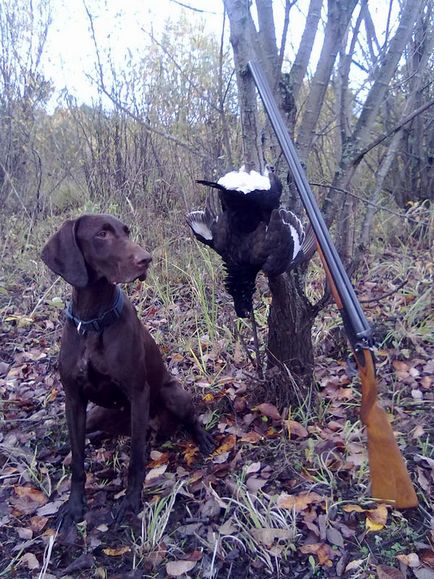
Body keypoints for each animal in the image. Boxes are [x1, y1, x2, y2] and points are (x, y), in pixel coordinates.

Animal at [42, 215, 214, 528]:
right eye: (101, 234)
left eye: (126, 232)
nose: (146, 259)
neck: (93, 320)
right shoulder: (74, 399)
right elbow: (77, 460)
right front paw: (74, 506)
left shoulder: (138, 394)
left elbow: (136, 459)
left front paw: (131, 502)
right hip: (98, 414)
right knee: (91, 433)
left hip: (173, 396)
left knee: (189, 419)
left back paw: (202, 439)